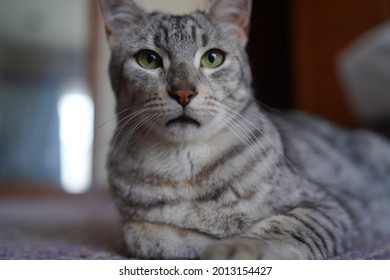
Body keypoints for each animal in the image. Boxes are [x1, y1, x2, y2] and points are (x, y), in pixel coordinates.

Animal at [99, 0, 390, 260]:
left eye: (212, 58)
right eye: (149, 59)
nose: (183, 92)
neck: (186, 170)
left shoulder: (333, 206)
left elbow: (284, 228)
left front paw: (239, 247)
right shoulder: (134, 227)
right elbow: (144, 236)